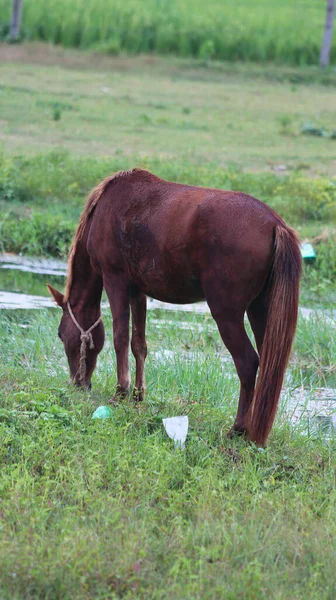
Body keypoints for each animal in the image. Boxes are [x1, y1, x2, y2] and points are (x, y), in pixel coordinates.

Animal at [47, 169, 302, 446]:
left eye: (60, 334)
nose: (77, 384)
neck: (106, 206)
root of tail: (274, 224)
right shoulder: (138, 291)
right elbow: (138, 344)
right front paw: (137, 395)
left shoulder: (115, 281)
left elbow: (120, 338)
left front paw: (121, 393)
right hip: (259, 310)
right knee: (268, 367)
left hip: (227, 314)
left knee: (247, 364)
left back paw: (238, 428)